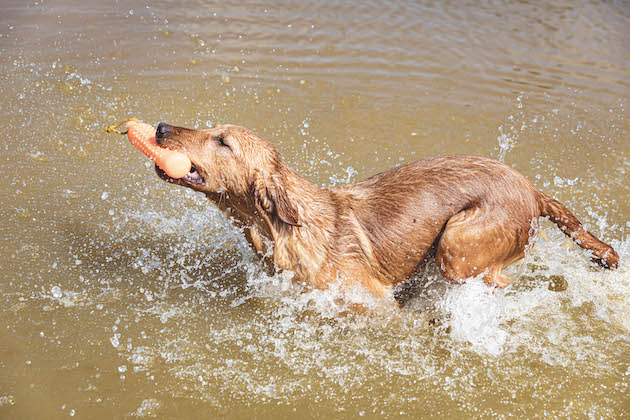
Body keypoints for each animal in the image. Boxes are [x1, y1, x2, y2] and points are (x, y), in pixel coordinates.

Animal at [154, 121, 624, 306]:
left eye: (223, 142)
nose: (160, 128)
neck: (282, 230)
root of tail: (531, 188)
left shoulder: (371, 301)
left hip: (456, 246)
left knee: (498, 280)